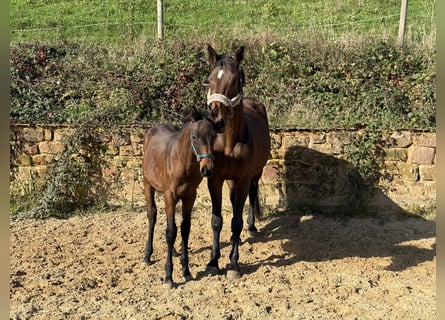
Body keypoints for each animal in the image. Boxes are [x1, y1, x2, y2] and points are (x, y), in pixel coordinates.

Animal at [142, 107, 217, 288]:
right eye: (194, 136)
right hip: (148, 184)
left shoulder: (190, 196)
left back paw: (175, 251)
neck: (183, 162)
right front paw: (168, 276)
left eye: (214, 136)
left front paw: (186, 270)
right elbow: (171, 232)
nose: (208, 169)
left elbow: (184, 229)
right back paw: (147, 255)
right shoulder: (170, 195)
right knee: (152, 215)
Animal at [205, 45, 270, 280]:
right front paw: (213, 262)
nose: (216, 120)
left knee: (252, 195)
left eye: (233, 80)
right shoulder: (214, 179)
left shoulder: (243, 179)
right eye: (209, 79)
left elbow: (236, 221)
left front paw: (233, 264)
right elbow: (217, 221)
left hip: (255, 174)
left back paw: (251, 228)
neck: (228, 143)